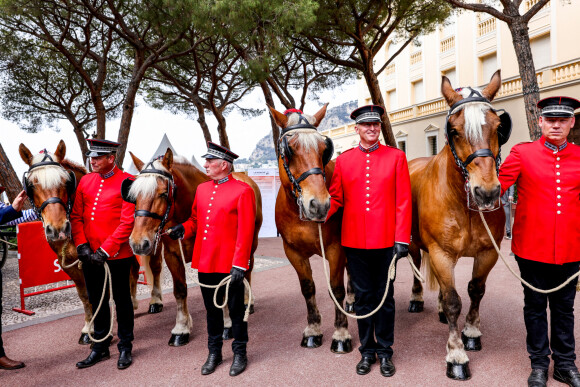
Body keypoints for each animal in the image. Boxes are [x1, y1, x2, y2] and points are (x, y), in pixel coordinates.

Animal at [270, 104, 356, 354]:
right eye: (289, 150)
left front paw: (341, 333)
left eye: (324, 149)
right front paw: (313, 329)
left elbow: (335, 289)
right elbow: (308, 288)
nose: (320, 205)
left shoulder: (336, 248)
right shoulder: (293, 252)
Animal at [406, 70, 510, 382]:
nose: (486, 193)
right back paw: (417, 298)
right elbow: (454, 300)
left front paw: (471, 331)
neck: (464, 204)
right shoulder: (440, 252)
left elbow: (475, 290)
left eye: (499, 127)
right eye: (453, 130)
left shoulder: (488, 252)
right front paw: (456, 354)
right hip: (415, 244)